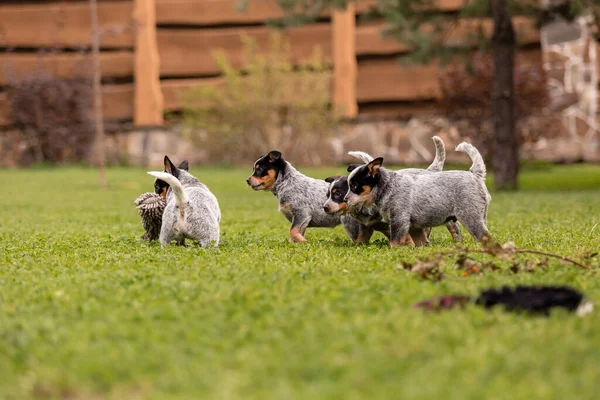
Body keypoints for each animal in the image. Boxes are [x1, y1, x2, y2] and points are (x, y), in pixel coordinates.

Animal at [326, 136, 462, 245]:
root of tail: (430, 171)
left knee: (453, 226)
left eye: (338, 194)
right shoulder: (366, 226)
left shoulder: (400, 220)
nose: (325, 207)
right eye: (328, 195)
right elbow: (361, 240)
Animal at [344, 141, 490, 247]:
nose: (345, 199)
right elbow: (416, 241)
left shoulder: (399, 219)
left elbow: (395, 241)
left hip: (470, 216)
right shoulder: (413, 227)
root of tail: (474, 173)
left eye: (354, 186)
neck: (388, 186)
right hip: (480, 216)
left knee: (484, 236)